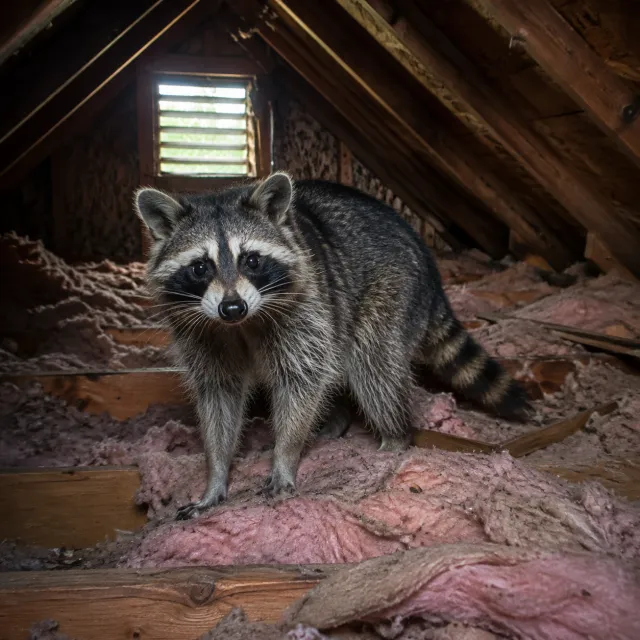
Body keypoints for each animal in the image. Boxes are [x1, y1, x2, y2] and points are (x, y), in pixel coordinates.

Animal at [135, 173, 530, 519]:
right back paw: (335, 423)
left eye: (252, 260)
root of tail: (431, 270)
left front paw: (285, 456)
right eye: (200, 267)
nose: (232, 308)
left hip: (392, 291)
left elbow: (301, 384)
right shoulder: (202, 334)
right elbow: (219, 397)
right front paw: (215, 476)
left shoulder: (307, 309)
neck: (242, 324)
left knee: (374, 367)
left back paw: (395, 438)